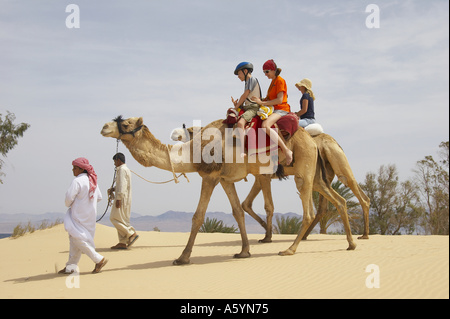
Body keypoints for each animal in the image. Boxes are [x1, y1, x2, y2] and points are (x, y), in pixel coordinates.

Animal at [101, 115, 356, 264]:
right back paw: (351, 244)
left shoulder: (210, 176)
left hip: (303, 171)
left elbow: (198, 216)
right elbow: (238, 212)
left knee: (310, 210)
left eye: (125, 123)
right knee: (339, 200)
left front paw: (182, 257)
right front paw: (244, 251)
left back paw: (290, 249)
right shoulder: (226, 179)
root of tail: (313, 141)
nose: (104, 127)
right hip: (316, 175)